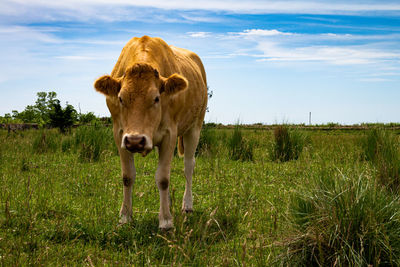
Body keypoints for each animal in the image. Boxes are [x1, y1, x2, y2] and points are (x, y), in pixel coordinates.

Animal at [92, 36, 208, 230]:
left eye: (156, 98)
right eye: (121, 98)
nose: (135, 140)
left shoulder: (170, 134)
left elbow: (163, 178)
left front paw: (166, 221)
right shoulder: (120, 134)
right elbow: (127, 176)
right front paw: (125, 217)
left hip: (194, 127)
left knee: (188, 166)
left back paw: (187, 205)